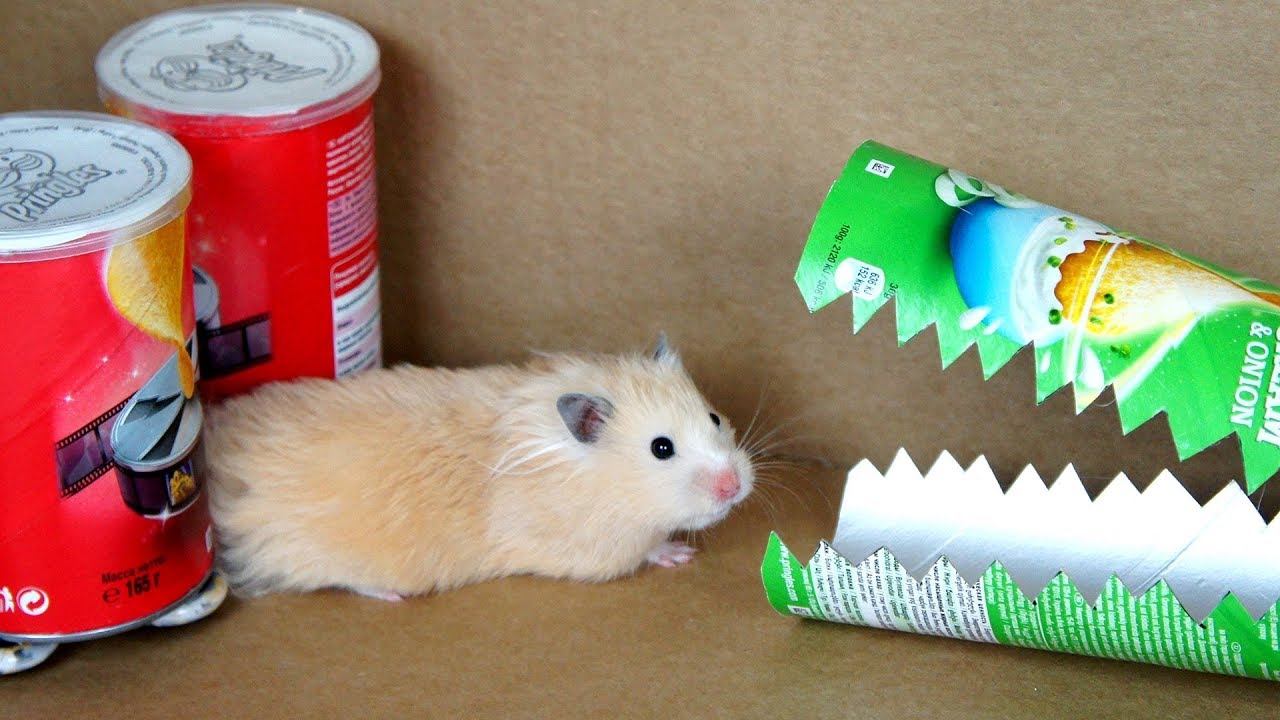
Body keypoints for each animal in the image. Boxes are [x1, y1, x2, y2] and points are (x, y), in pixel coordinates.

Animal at [200, 338, 755, 600]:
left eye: (713, 417)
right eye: (662, 448)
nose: (736, 487)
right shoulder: (594, 548)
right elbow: (647, 547)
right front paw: (679, 553)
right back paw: (391, 595)